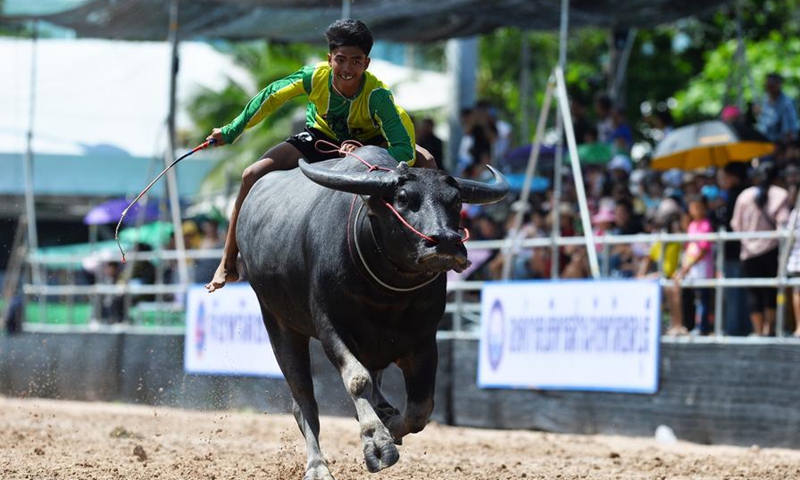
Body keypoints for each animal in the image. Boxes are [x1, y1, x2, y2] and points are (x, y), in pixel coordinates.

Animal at [237, 145, 509, 479]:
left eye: (456, 200)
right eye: (402, 198)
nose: (446, 242)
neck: (387, 292)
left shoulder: (424, 339)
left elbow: (421, 408)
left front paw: (389, 425)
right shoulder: (331, 328)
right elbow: (358, 380)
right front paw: (377, 443)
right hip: (278, 322)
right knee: (303, 399)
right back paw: (317, 465)